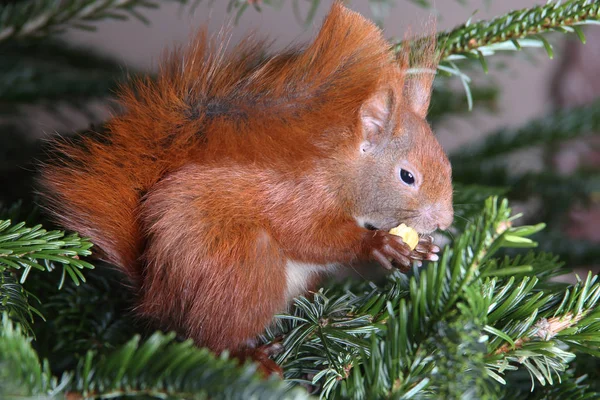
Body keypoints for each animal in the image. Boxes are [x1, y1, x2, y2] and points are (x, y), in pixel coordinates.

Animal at [39, 2, 452, 372]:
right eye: (407, 176)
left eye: (447, 163)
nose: (446, 221)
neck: (341, 174)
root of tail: (156, 297)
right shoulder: (300, 196)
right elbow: (310, 237)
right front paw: (378, 245)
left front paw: (424, 247)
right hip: (243, 268)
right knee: (212, 340)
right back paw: (252, 357)